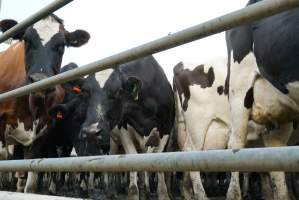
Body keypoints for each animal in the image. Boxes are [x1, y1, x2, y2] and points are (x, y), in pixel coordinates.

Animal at [79, 55, 176, 200]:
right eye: (86, 92)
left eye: (118, 91)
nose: (91, 132)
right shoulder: (123, 131)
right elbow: (132, 160)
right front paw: (133, 193)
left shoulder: (166, 131)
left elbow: (158, 162)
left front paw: (163, 194)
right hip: (113, 142)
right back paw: (113, 190)